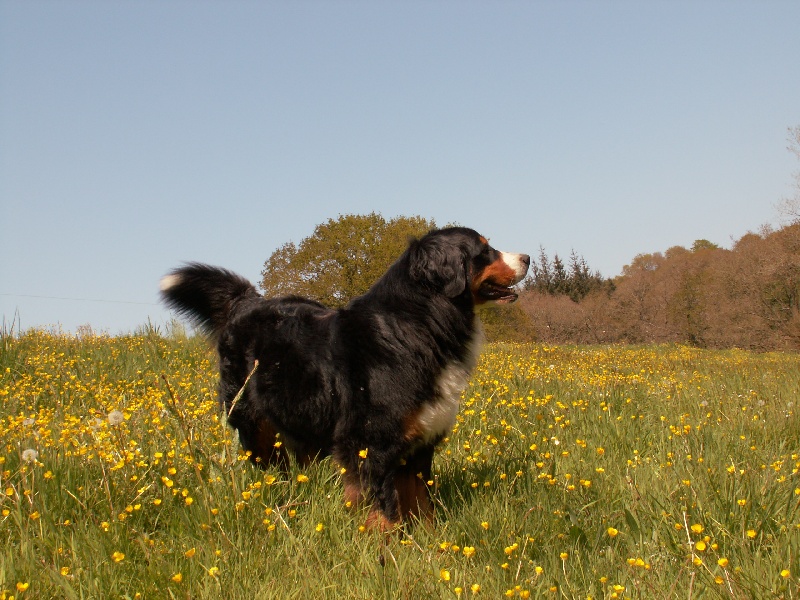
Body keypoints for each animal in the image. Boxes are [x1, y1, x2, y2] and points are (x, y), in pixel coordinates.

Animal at [159, 226, 528, 528]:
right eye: (485, 250)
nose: (526, 257)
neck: (417, 324)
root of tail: (246, 302)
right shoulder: (372, 443)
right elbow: (386, 511)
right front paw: (389, 555)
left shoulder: (420, 441)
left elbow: (422, 505)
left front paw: (429, 546)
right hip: (253, 425)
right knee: (272, 469)